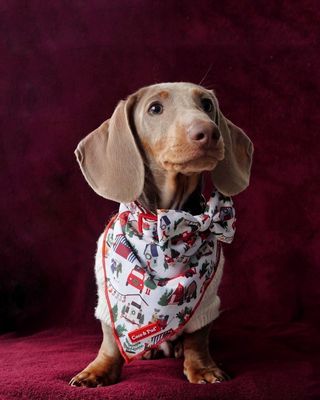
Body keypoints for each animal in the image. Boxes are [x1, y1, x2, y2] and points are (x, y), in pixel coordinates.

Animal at [69, 82, 252, 388]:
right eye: (155, 108)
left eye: (207, 104)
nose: (208, 132)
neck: (164, 225)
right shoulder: (107, 296)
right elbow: (110, 339)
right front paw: (98, 370)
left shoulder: (207, 300)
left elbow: (198, 338)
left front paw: (202, 368)